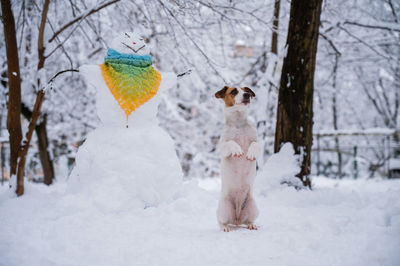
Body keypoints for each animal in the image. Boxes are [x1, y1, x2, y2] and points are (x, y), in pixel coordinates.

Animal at [216, 86, 260, 232]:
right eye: (234, 91)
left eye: (246, 89)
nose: (247, 95)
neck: (239, 124)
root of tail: (236, 219)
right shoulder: (223, 146)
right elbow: (230, 143)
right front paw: (237, 149)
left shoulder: (258, 142)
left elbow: (255, 145)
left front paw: (250, 153)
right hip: (223, 209)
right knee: (221, 222)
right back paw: (225, 227)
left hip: (253, 207)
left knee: (248, 221)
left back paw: (251, 225)